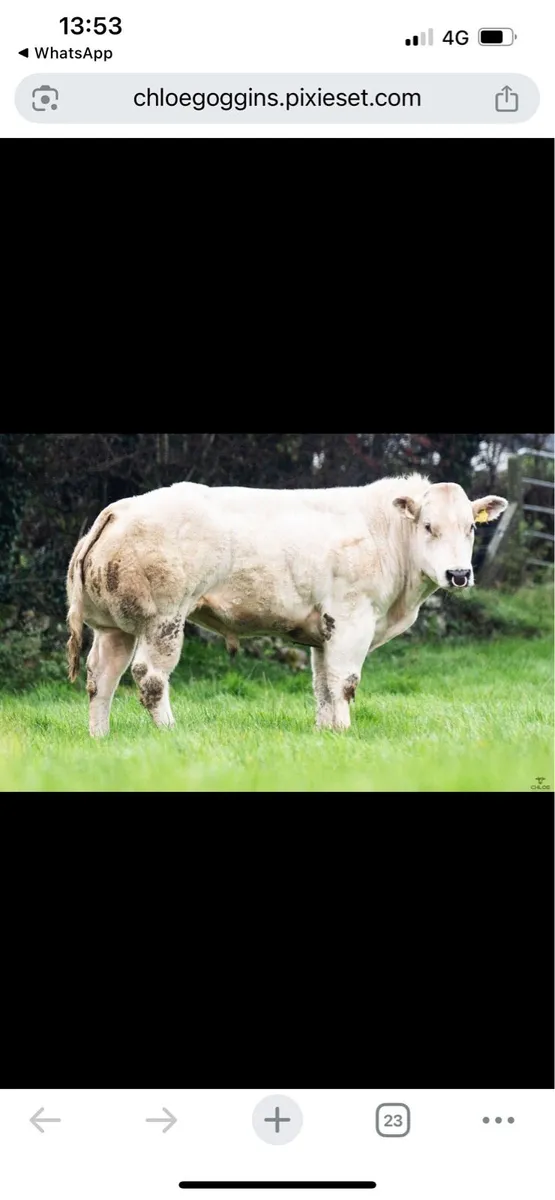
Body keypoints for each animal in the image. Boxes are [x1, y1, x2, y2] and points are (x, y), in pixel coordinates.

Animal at [66, 474, 507, 737]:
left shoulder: (323, 630)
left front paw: (327, 732)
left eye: (471, 527)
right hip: (164, 618)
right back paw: (169, 731)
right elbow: (345, 682)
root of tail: (121, 507)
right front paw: (345, 731)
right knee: (150, 677)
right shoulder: (352, 619)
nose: (458, 574)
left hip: (114, 627)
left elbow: (323, 685)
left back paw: (100, 736)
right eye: (429, 526)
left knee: (100, 678)